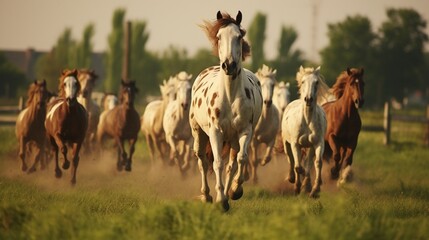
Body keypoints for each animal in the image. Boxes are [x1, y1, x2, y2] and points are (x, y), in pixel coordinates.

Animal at [190, 10, 262, 210]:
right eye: (219, 36)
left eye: (239, 36)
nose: (229, 65)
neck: (229, 96)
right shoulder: (216, 132)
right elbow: (217, 164)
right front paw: (220, 199)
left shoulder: (245, 131)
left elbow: (241, 159)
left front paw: (234, 192)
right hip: (198, 132)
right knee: (202, 160)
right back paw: (207, 195)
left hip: (232, 140)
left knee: (232, 164)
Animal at [280, 65, 328, 197]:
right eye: (303, 82)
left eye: (316, 82)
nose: (308, 99)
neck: (307, 120)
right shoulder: (295, 144)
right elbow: (297, 165)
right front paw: (297, 187)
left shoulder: (318, 143)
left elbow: (317, 163)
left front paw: (315, 189)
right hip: (287, 144)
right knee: (291, 159)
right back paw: (293, 179)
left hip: (310, 147)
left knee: (308, 162)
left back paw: (307, 185)